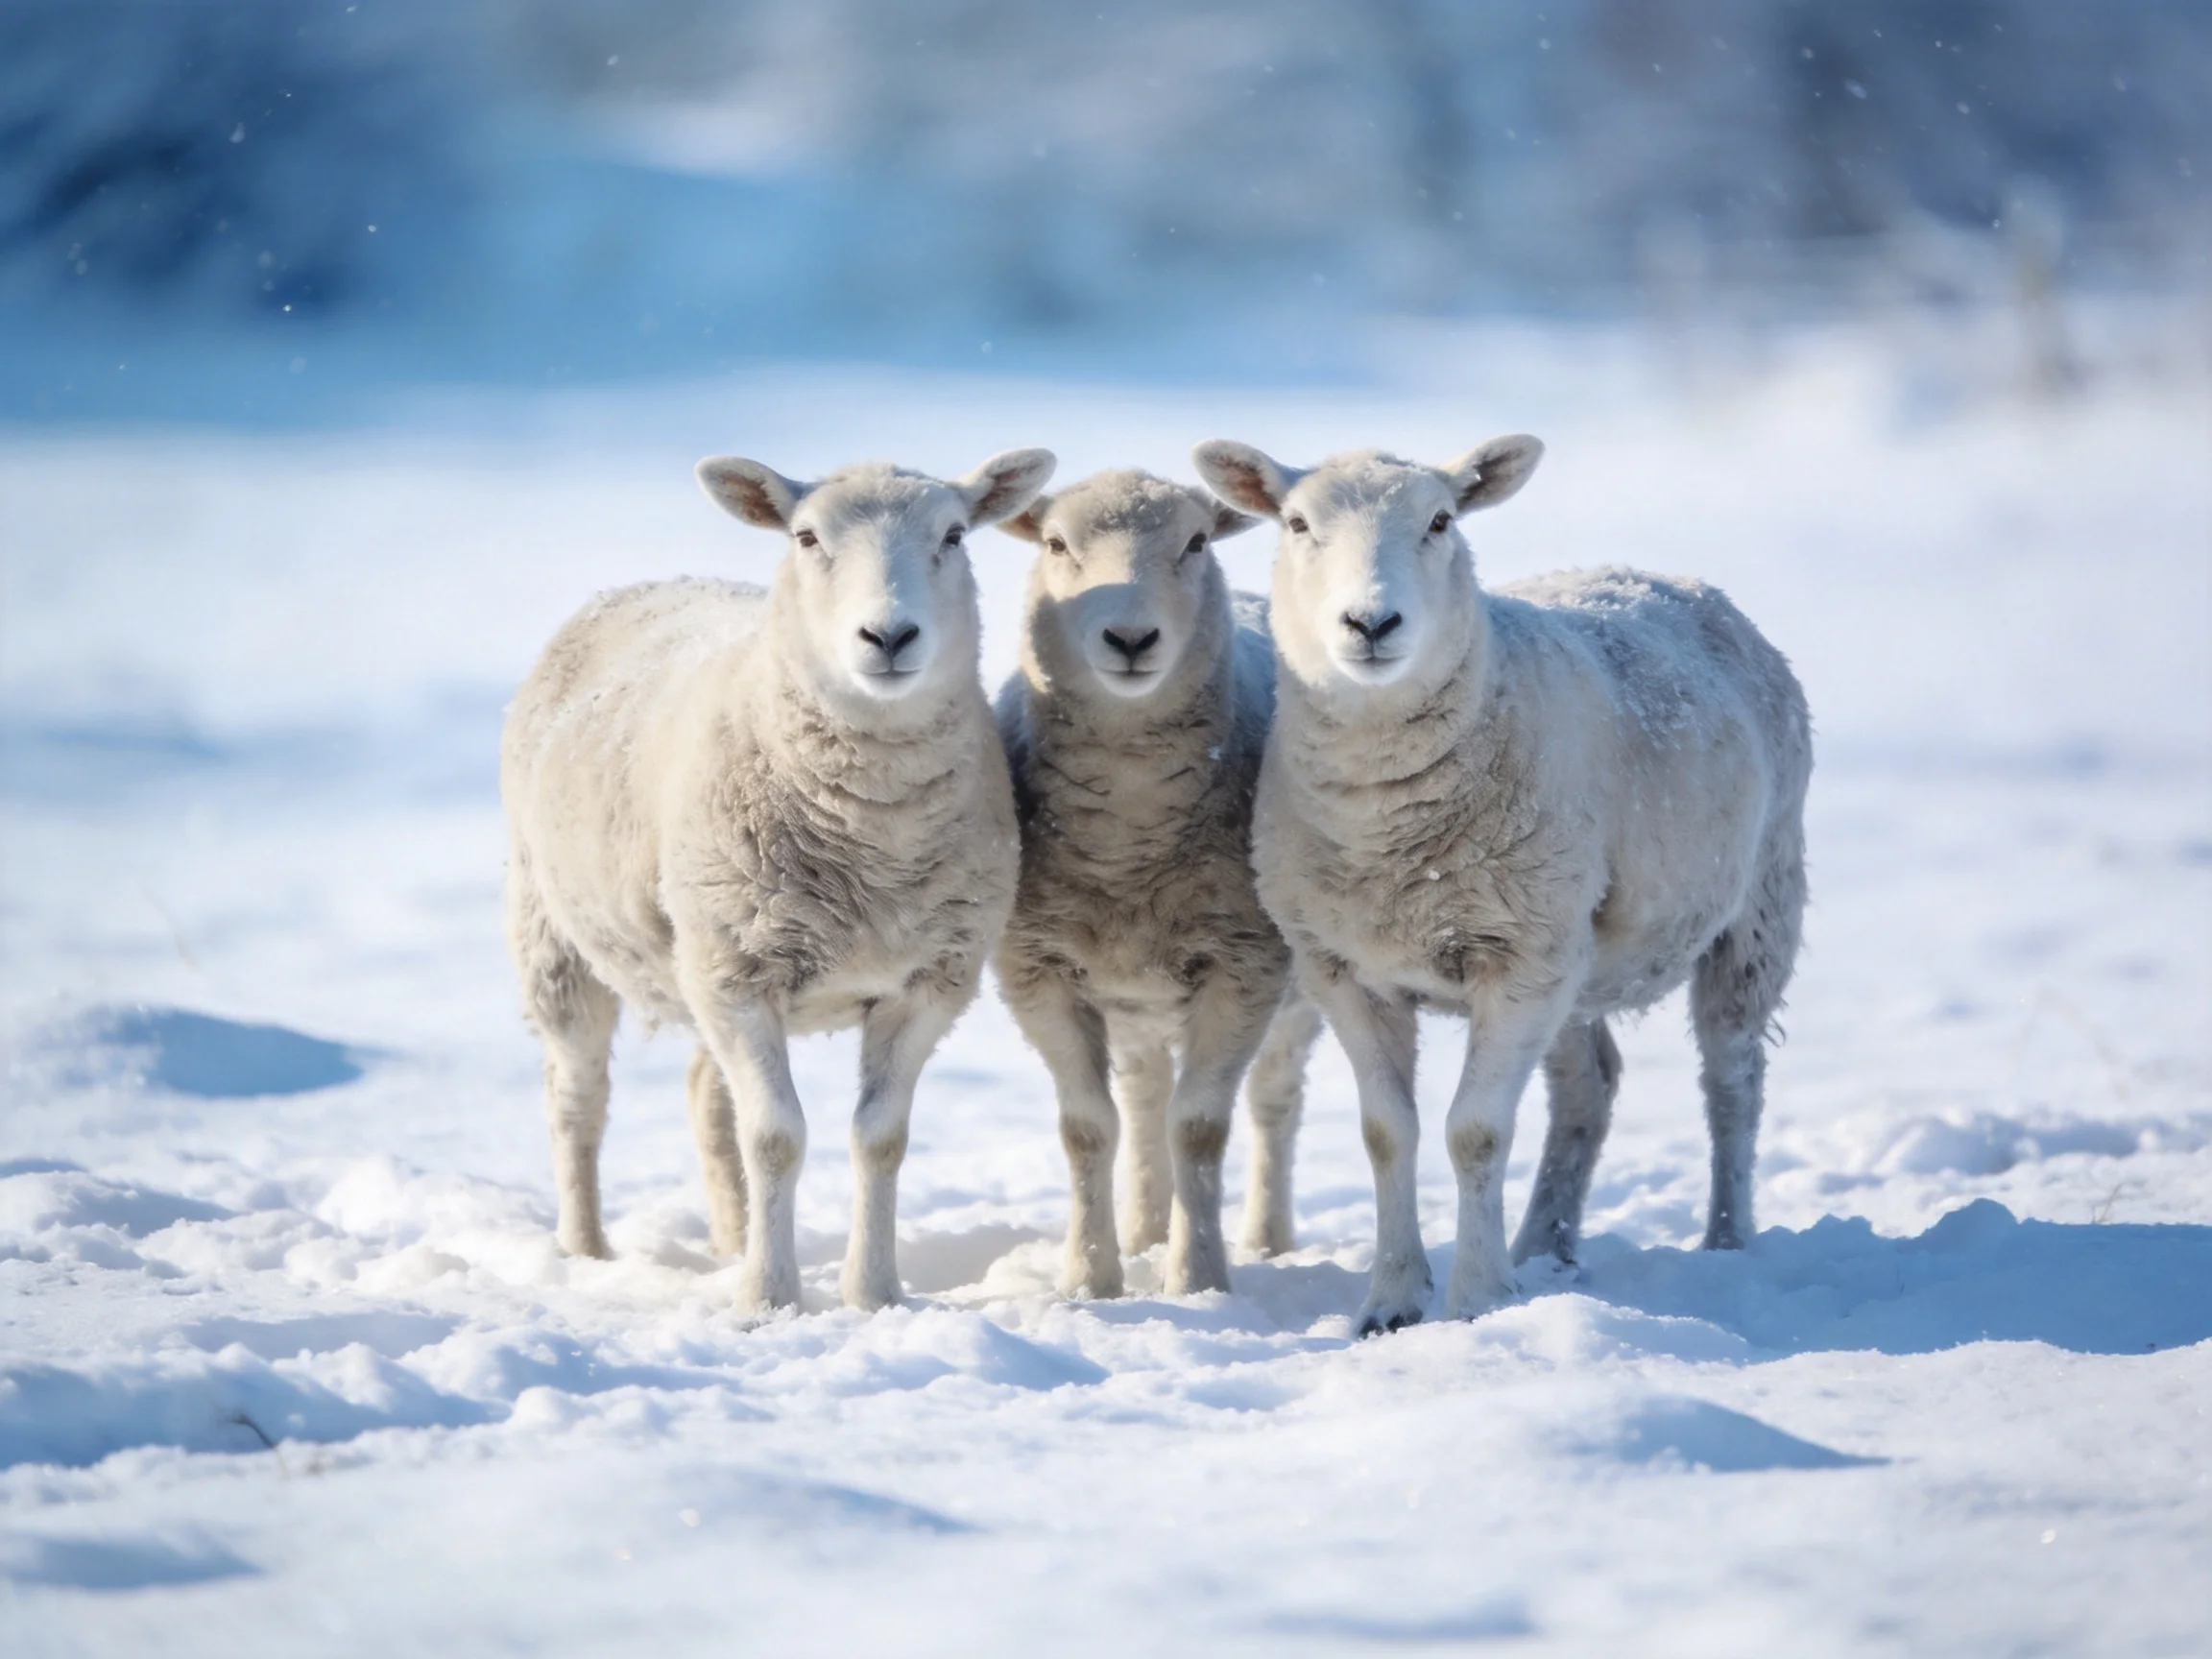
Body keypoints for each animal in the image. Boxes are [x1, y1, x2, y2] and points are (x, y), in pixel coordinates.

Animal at [501, 448, 1055, 1313]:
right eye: (806, 536)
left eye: (954, 535)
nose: (888, 634)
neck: (870, 836)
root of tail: (641, 583)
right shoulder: (738, 978)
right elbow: (775, 1137)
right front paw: (768, 1298)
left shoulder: (930, 981)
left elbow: (879, 1140)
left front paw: (873, 1293)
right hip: (559, 937)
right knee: (576, 1103)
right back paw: (586, 1253)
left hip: (695, 950)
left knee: (705, 1093)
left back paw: (731, 1239)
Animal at [994, 469, 1323, 1298]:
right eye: (1056, 544)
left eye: (1196, 542)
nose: (1131, 640)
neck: (1129, 836)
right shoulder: (1037, 971)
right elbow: (1088, 1128)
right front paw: (1090, 1279)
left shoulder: (1246, 967)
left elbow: (1200, 1127)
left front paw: (1198, 1277)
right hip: (1134, 996)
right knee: (1143, 1098)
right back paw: (1143, 1229)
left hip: (1300, 992)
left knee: (1274, 1101)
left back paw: (1267, 1240)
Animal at [1192, 437, 1810, 1334]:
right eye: (1297, 523)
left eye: (1441, 521)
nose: (1371, 624)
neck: (1391, 831)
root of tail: (1671, 579)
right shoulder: (1346, 969)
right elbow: (1388, 1133)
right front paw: (1391, 1301)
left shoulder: (1518, 963)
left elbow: (1474, 1133)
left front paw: (1478, 1301)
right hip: (1573, 951)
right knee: (1590, 1088)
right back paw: (1545, 1249)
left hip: (1756, 906)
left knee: (1732, 1081)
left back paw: (1725, 1241)